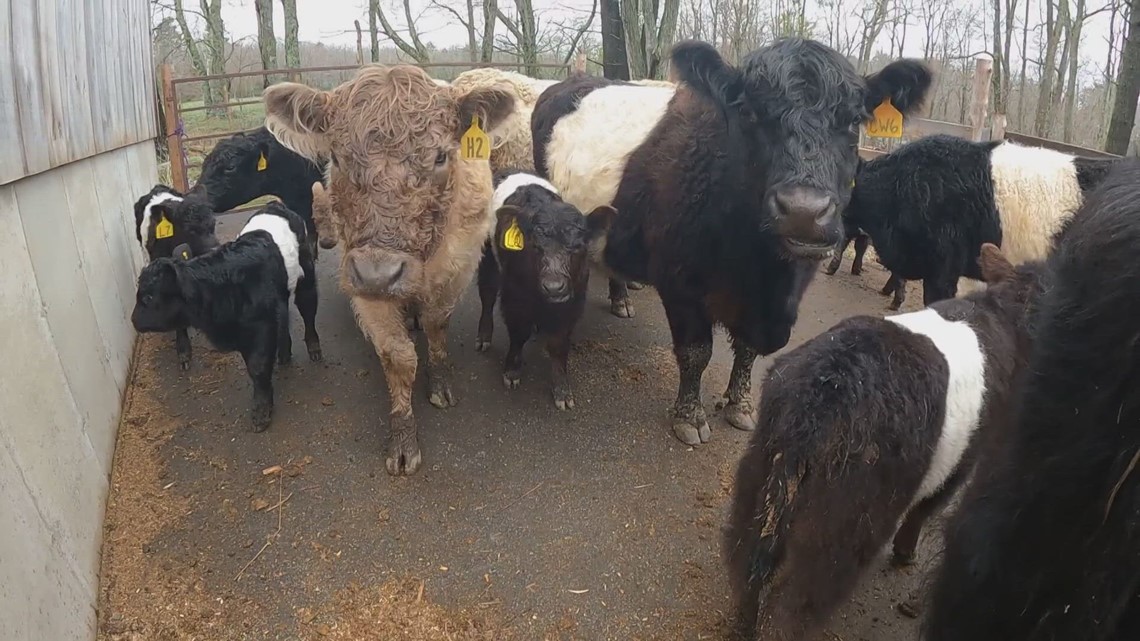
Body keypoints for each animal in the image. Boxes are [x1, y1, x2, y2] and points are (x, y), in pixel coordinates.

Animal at [262, 64, 516, 476]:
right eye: (338, 157)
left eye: (441, 157)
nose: (381, 273)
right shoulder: (363, 279)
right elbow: (398, 357)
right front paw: (403, 441)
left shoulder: (456, 270)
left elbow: (437, 324)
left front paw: (439, 383)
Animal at [531, 38, 933, 445]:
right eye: (751, 114)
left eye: (853, 120)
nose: (803, 210)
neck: (762, 274)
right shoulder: (681, 283)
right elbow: (696, 352)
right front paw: (690, 417)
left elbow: (749, 350)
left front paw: (740, 404)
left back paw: (621, 298)